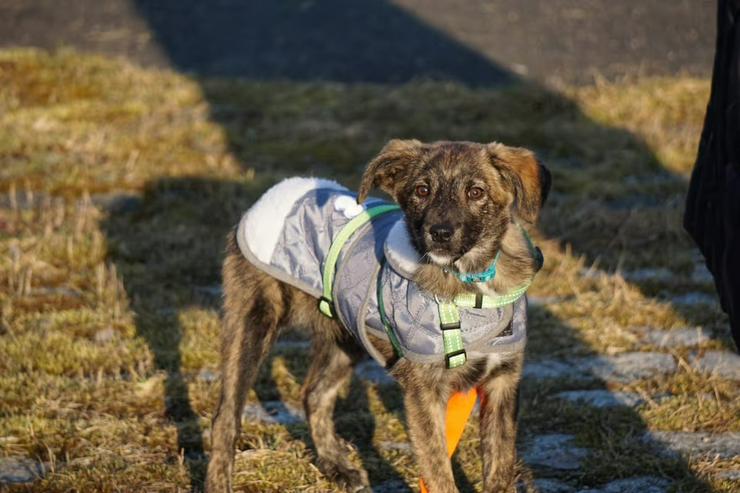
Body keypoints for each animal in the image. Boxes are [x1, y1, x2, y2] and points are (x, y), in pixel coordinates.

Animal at [205, 139, 552, 492]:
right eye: (422, 190)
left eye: (476, 192)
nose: (439, 233)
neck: (471, 283)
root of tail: (275, 191)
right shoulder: (425, 393)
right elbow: (439, 473)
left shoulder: (503, 383)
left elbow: (500, 468)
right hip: (251, 324)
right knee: (226, 418)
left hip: (345, 339)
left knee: (313, 395)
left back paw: (337, 466)